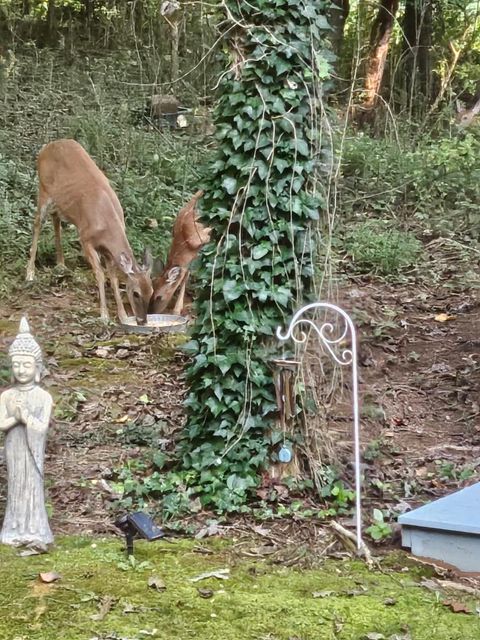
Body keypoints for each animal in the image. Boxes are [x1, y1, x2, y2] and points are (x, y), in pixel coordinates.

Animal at [25, 137, 153, 322]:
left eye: (151, 291)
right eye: (136, 293)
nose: (142, 320)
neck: (106, 224)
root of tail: (47, 146)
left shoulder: (107, 251)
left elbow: (113, 277)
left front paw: (122, 316)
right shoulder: (85, 239)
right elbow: (100, 274)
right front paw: (104, 315)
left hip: (62, 201)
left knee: (55, 217)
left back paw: (61, 265)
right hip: (43, 188)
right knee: (37, 223)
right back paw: (30, 274)